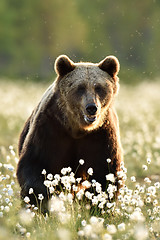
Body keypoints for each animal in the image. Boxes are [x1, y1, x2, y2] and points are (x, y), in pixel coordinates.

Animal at [16, 54, 124, 206]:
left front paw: (96, 205)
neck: (77, 128)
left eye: (99, 87)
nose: (91, 107)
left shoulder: (101, 135)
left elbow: (106, 171)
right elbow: (35, 164)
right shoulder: (50, 128)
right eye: (80, 87)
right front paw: (46, 200)